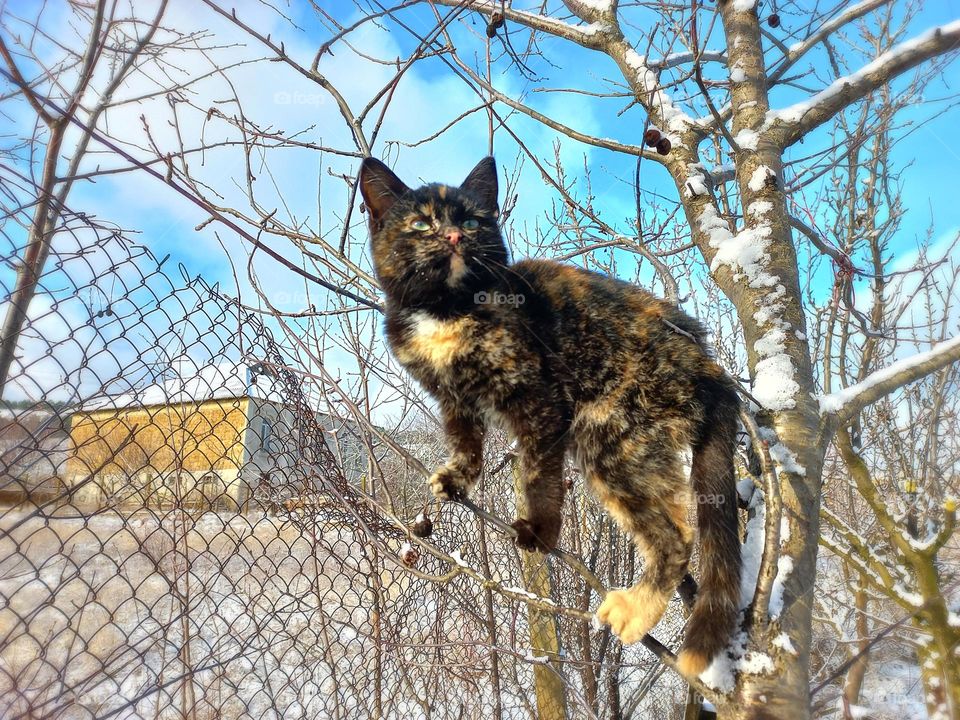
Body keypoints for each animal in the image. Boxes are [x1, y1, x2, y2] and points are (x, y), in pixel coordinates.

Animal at [360, 156, 744, 676]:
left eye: (472, 221)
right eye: (421, 224)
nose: (455, 237)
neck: (446, 314)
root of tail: (710, 366)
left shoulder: (540, 402)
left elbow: (538, 474)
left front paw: (540, 532)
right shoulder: (453, 400)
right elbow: (465, 440)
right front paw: (458, 478)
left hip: (608, 438)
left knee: (676, 539)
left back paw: (635, 610)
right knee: (678, 524)